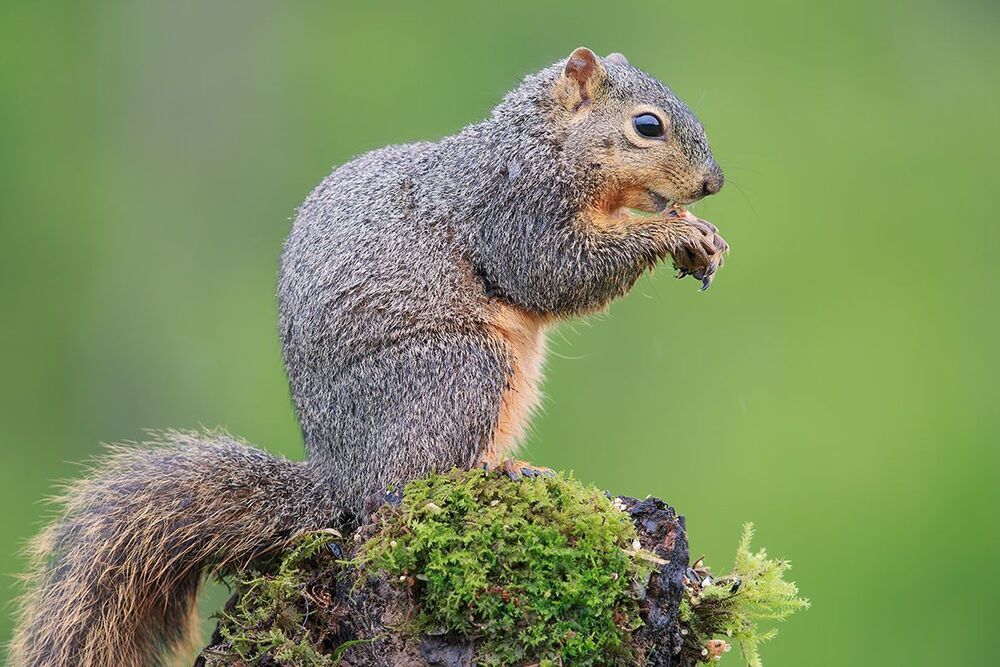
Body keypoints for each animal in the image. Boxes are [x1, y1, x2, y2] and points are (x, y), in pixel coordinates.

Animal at [8, 47, 727, 666]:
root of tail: (339, 476)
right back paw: (502, 472)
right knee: (413, 481)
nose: (713, 183)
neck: (540, 142)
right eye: (647, 126)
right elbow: (555, 272)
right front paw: (675, 231)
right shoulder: (514, 208)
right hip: (463, 371)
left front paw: (702, 236)